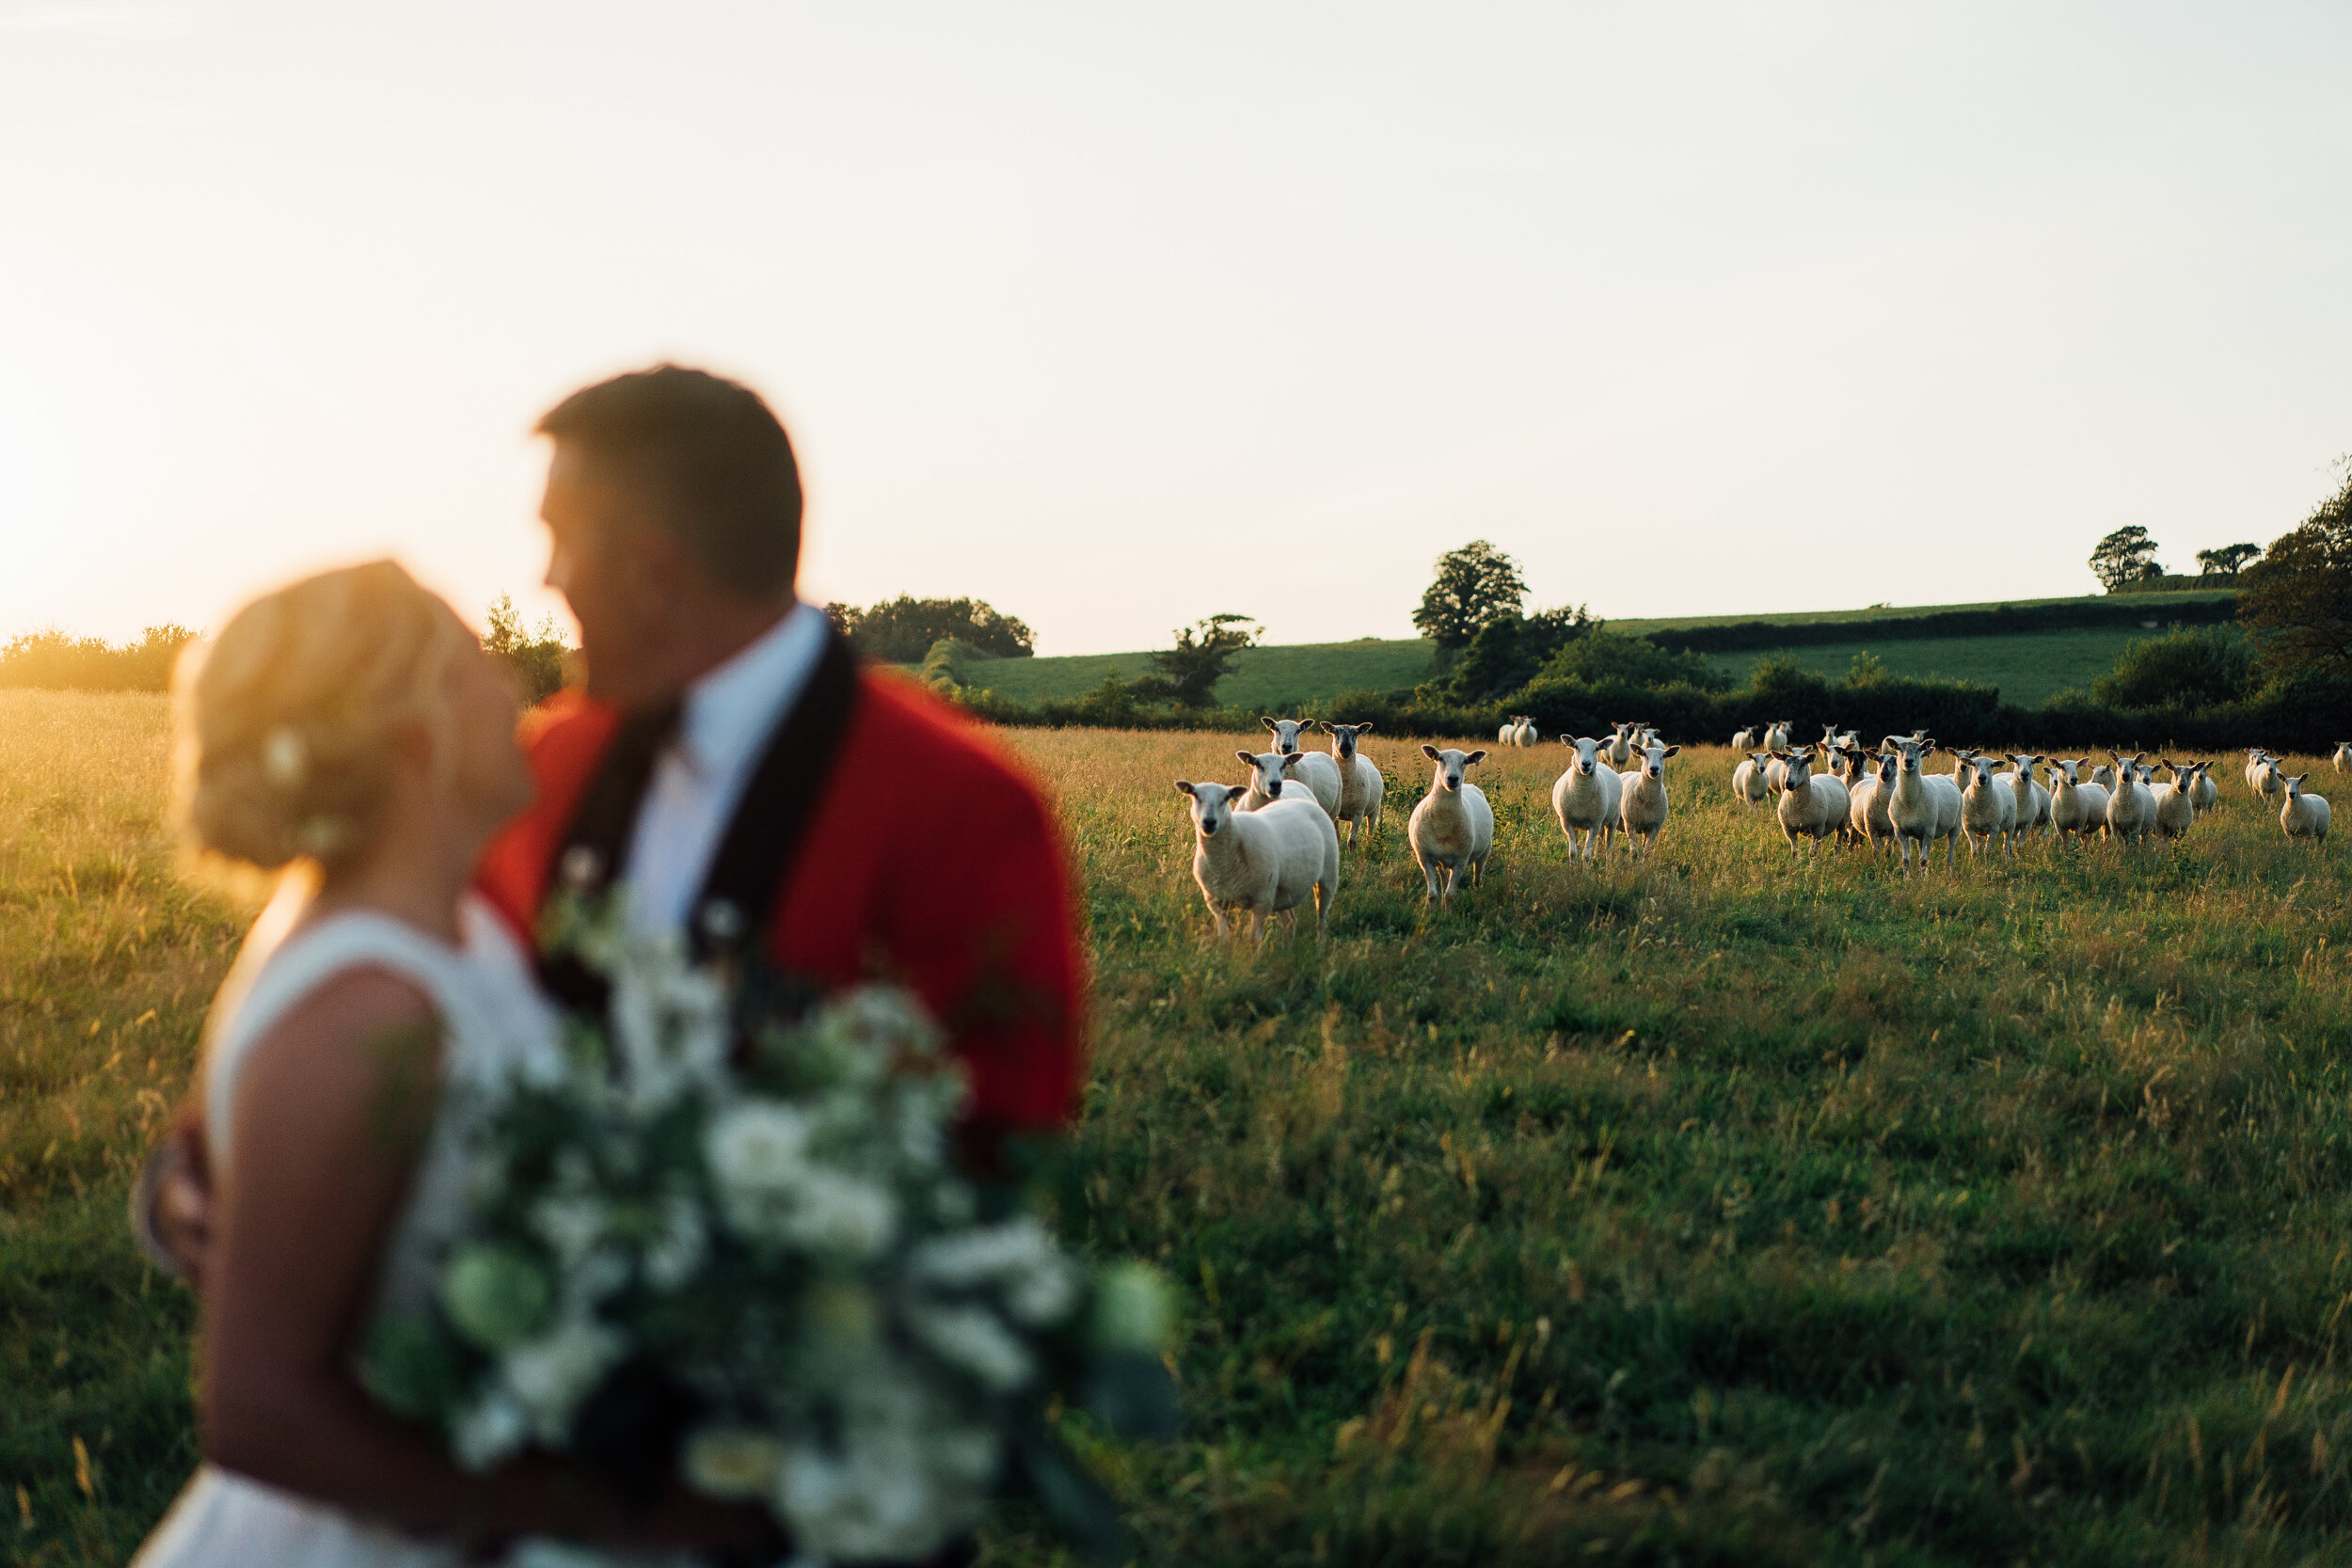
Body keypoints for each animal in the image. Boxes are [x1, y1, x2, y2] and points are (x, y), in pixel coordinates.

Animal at [1176, 775, 1345, 940]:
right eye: (1195, 795)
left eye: (1226, 798)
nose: (1209, 822)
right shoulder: (1215, 903)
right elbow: (1225, 936)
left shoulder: (1262, 902)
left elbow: (1254, 939)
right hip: (1282, 891)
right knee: (1290, 921)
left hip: (1327, 878)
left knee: (1322, 922)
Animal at [1317, 728, 1383, 850]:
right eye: (1335, 733)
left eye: (1355, 734)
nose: (1346, 748)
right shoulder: (1336, 813)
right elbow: (1337, 837)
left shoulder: (1358, 813)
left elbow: (1351, 841)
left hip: (1374, 809)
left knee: (1369, 832)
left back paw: (1368, 847)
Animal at [1402, 747, 1496, 907]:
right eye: (1440, 759)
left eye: (1465, 761)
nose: (1453, 778)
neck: (1443, 824)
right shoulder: (1425, 859)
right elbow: (1432, 894)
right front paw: (1432, 911)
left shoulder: (1460, 862)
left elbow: (1450, 895)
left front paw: (1448, 912)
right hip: (1441, 860)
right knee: (1444, 880)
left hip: (1484, 851)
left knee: (1477, 880)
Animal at [1552, 733, 1628, 860]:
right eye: (1576, 747)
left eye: (1596, 748)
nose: (1586, 764)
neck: (1581, 796)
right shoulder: (1567, 822)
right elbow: (1573, 852)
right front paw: (1573, 865)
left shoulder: (1594, 824)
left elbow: (1586, 854)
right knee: (1596, 840)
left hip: (1613, 819)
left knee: (1609, 846)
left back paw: (1608, 863)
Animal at [1872, 733, 1966, 869]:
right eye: (1899, 748)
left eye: (1919, 749)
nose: (1909, 761)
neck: (1909, 803)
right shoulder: (1901, 832)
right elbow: (1906, 860)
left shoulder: (1929, 831)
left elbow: (1924, 860)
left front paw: (1924, 874)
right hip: (1919, 834)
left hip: (1956, 826)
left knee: (1949, 857)